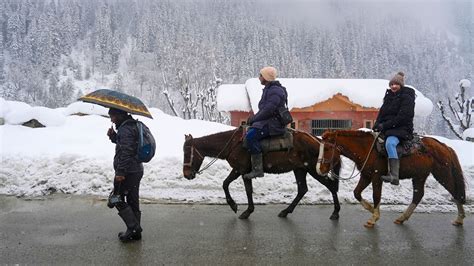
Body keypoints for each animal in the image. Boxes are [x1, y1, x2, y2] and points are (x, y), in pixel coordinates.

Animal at [181, 127, 340, 220]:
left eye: (187, 152)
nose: (186, 174)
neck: (233, 144)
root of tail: (319, 142)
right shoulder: (241, 171)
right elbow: (235, 186)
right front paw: (243, 209)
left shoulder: (241, 170)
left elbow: (233, 186)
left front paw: (239, 208)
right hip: (300, 169)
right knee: (302, 190)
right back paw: (285, 211)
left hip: (313, 169)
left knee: (331, 186)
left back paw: (335, 212)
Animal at [316, 130, 464, 228]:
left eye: (328, 148)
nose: (319, 169)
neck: (366, 149)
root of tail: (444, 146)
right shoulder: (366, 176)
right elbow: (356, 193)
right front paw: (371, 209)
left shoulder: (377, 177)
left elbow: (376, 196)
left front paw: (374, 218)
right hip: (419, 176)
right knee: (418, 195)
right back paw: (402, 218)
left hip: (442, 174)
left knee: (455, 192)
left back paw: (459, 218)